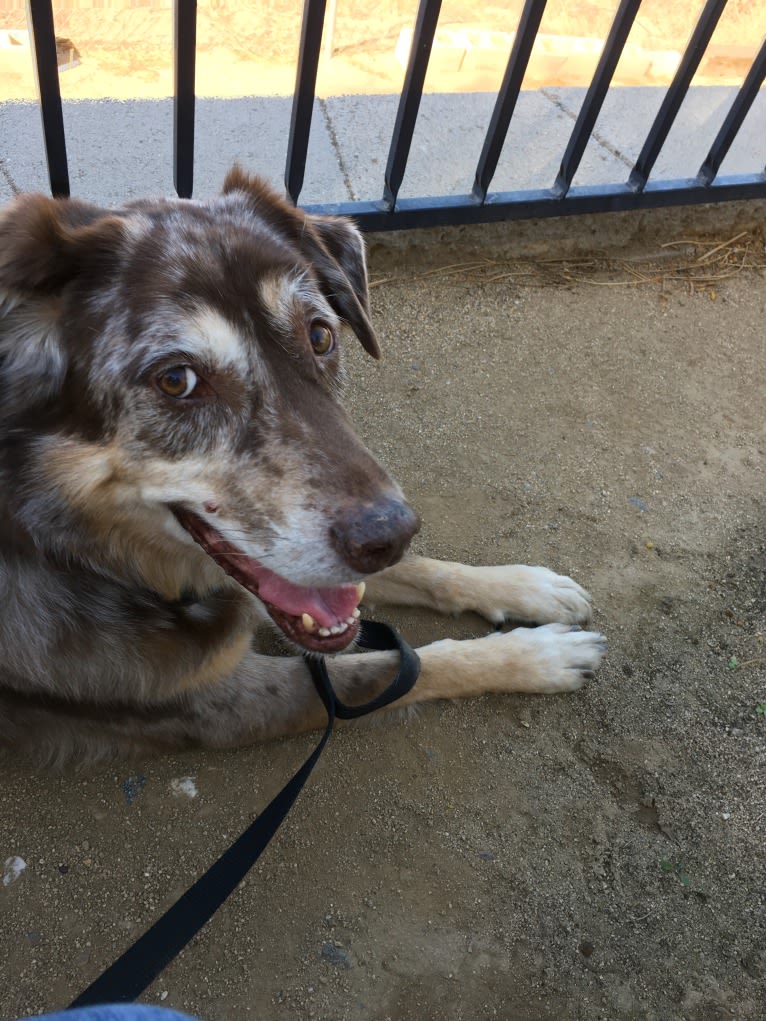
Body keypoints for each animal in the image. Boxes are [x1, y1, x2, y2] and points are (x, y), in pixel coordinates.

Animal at [0, 167, 608, 759]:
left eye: (320, 336)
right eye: (176, 380)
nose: (390, 535)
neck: (68, 553)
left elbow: (416, 573)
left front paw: (525, 588)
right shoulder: (208, 704)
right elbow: (383, 671)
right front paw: (537, 658)